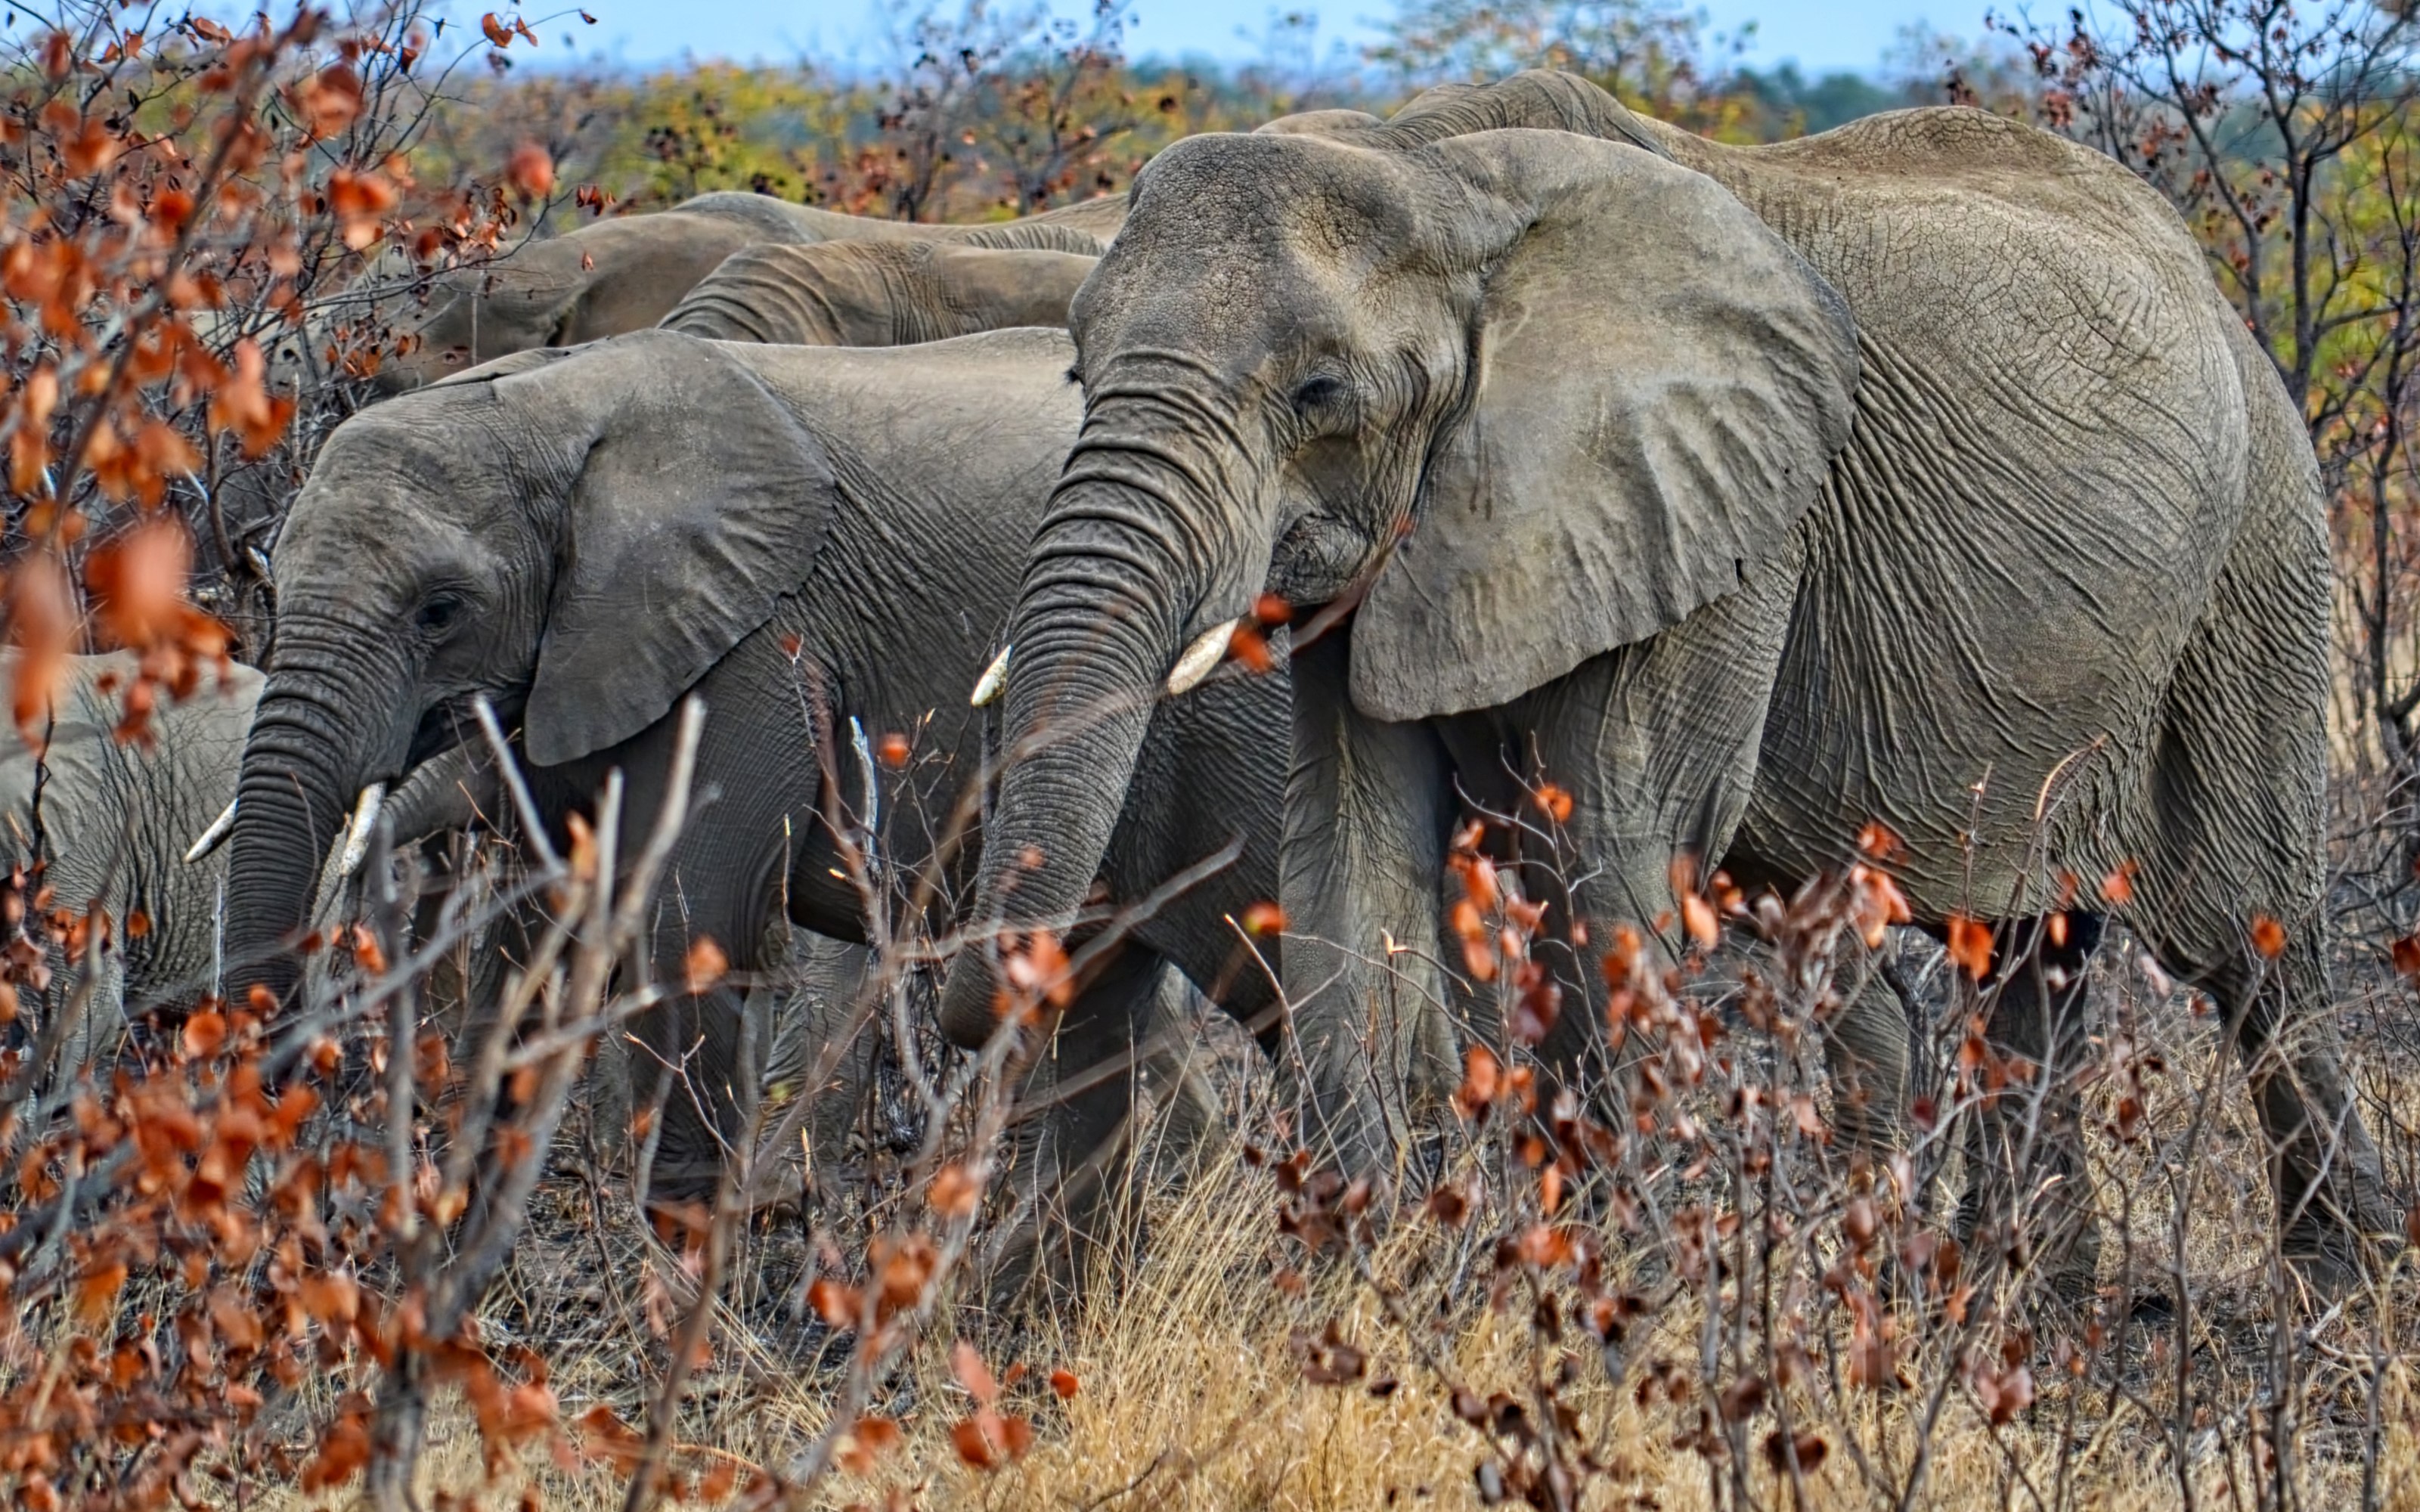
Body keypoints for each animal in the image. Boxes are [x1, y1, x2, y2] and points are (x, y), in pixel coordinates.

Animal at [218, 327, 1284, 1279]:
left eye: (440, 610)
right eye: (273, 580)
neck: (553, 404)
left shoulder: (757, 646)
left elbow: (695, 924)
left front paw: (689, 1291)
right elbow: (528, 948)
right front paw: (458, 1275)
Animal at [935, 70, 2398, 1292]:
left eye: (1318, 393)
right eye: (1075, 365)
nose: (964, 1007)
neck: (1433, 170)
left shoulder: (1724, 513)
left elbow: (1613, 864)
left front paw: (1613, 1311)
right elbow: (1348, 861)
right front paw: (1352, 1301)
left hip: (2260, 558)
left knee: (2252, 950)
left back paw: (2333, 1305)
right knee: (2027, 966)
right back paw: (2015, 1310)